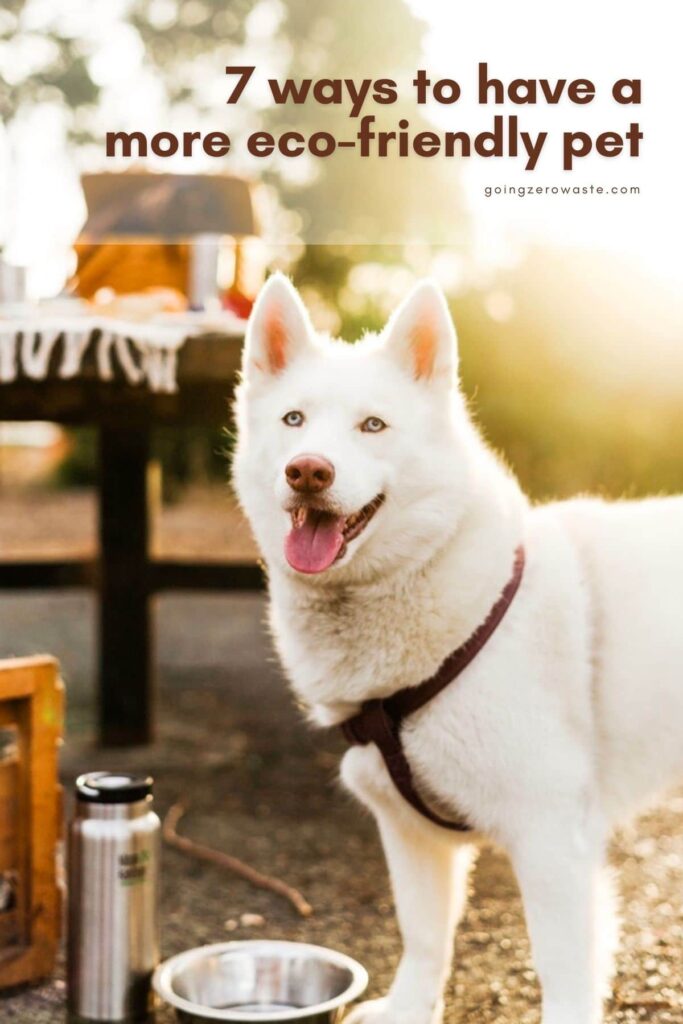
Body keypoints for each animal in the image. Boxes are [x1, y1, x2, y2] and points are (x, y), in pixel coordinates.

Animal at [233, 272, 683, 1024]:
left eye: (373, 425)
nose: (308, 472)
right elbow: (422, 941)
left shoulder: (550, 837)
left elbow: (561, 970)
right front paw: (410, 1010)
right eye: (294, 420)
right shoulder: (409, 832)